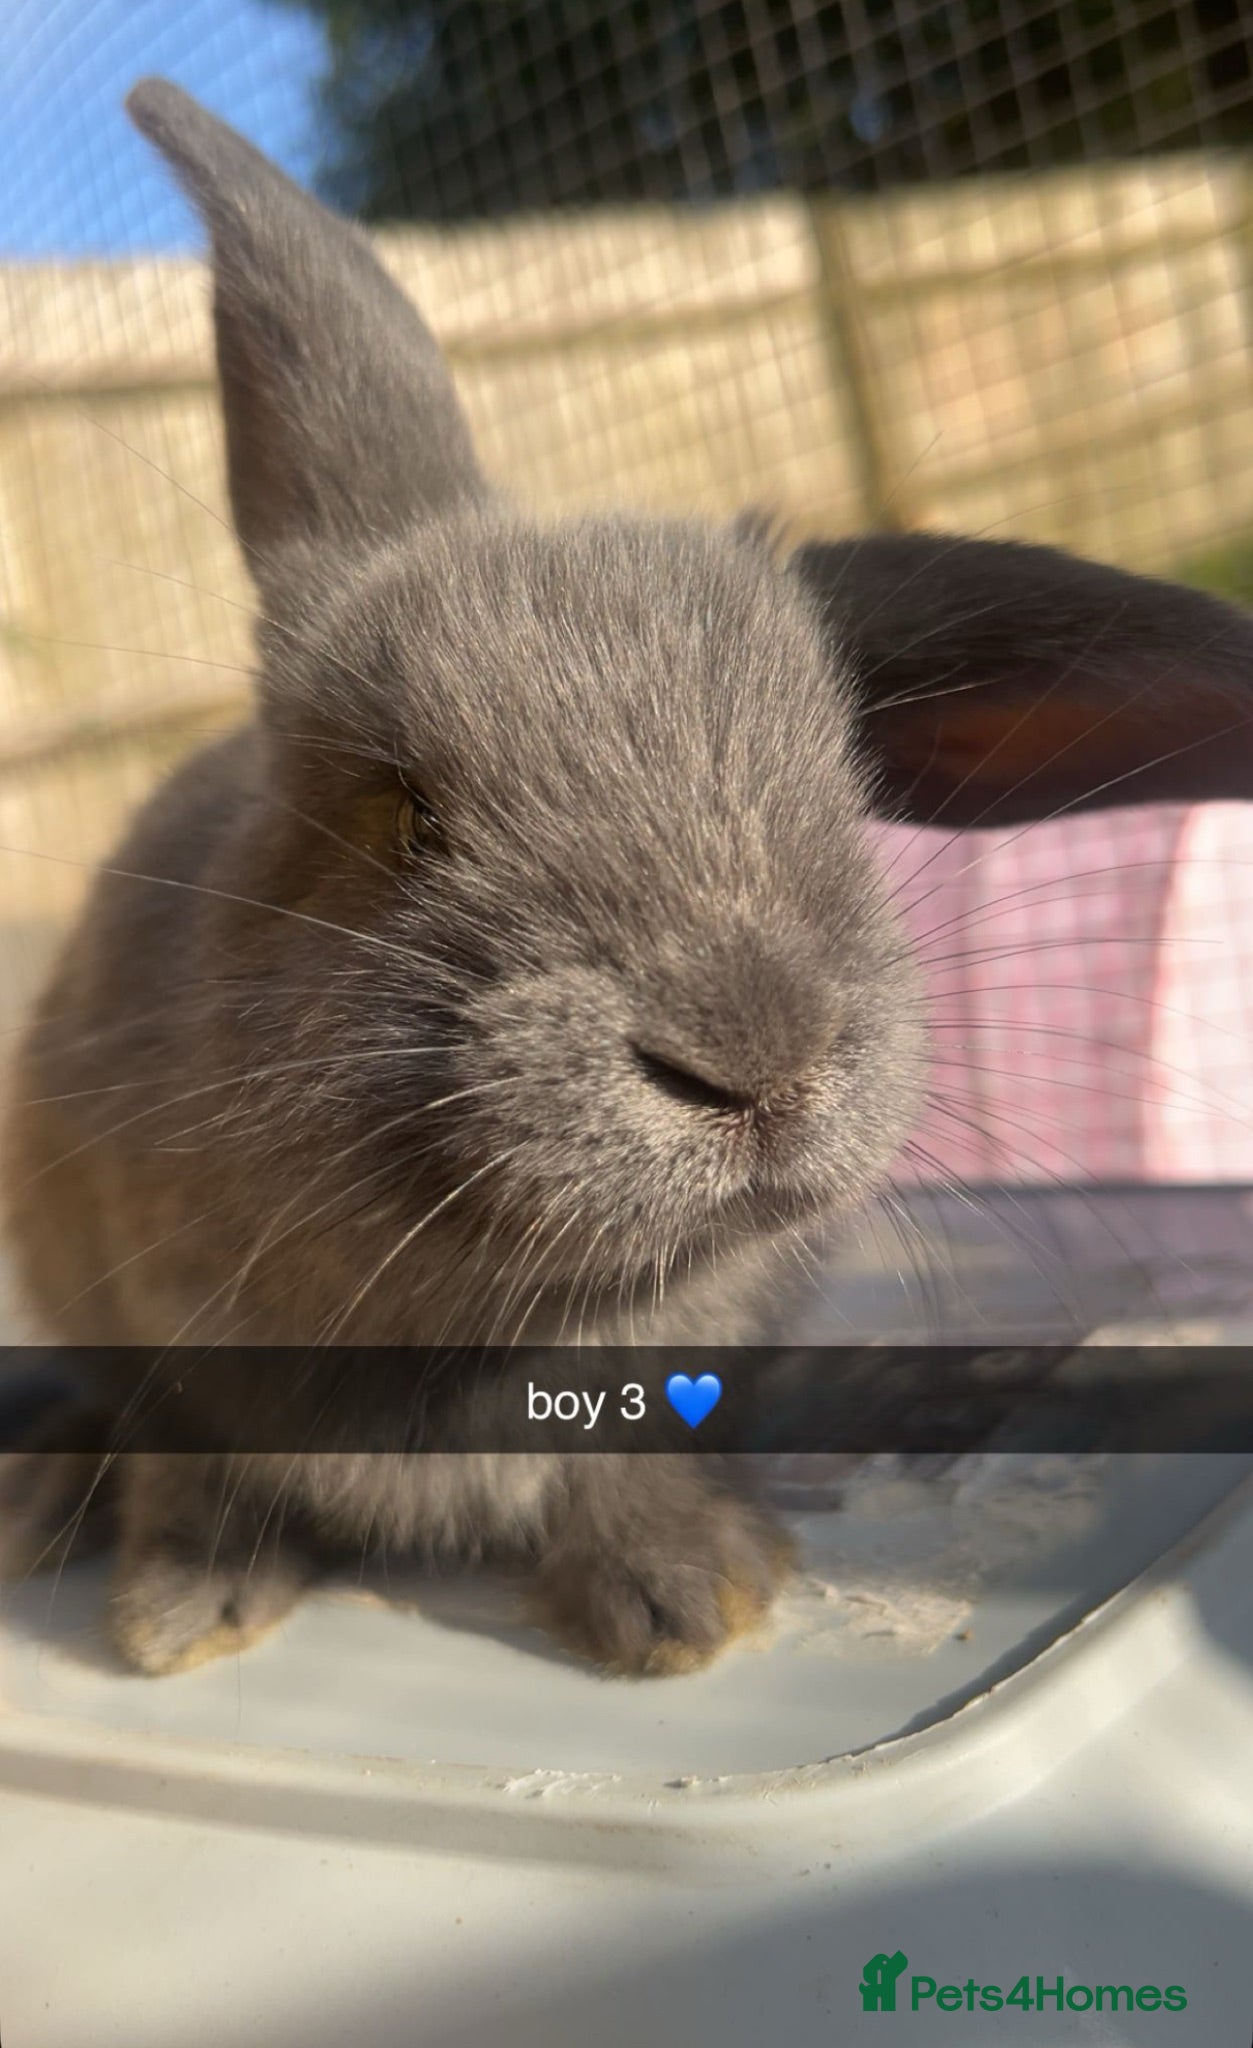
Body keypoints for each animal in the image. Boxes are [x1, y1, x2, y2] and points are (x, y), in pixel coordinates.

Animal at [3, 76, 1253, 1681]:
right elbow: (187, 1446)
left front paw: (687, 1596)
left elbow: (630, 1464)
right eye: (404, 815)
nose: (752, 1059)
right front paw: (181, 1607)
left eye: (842, 785)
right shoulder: (159, 1328)